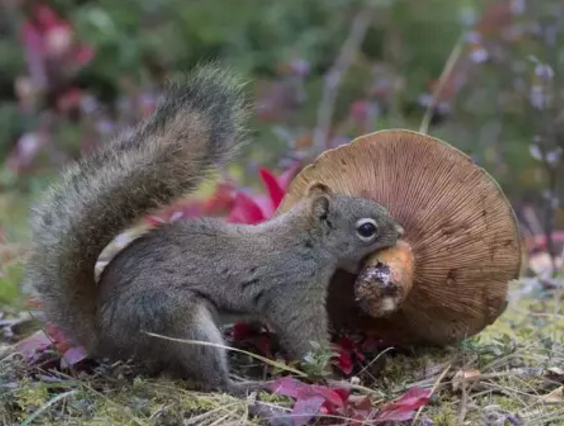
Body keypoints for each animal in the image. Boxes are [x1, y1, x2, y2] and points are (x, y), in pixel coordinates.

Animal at [25, 63, 406, 396]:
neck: (304, 241)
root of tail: (104, 334)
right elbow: (302, 335)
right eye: (367, 229)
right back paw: (244, 385)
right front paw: (331, 377)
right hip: (179, 321)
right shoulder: (292, 289)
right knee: (210, 377)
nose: (401, 233)